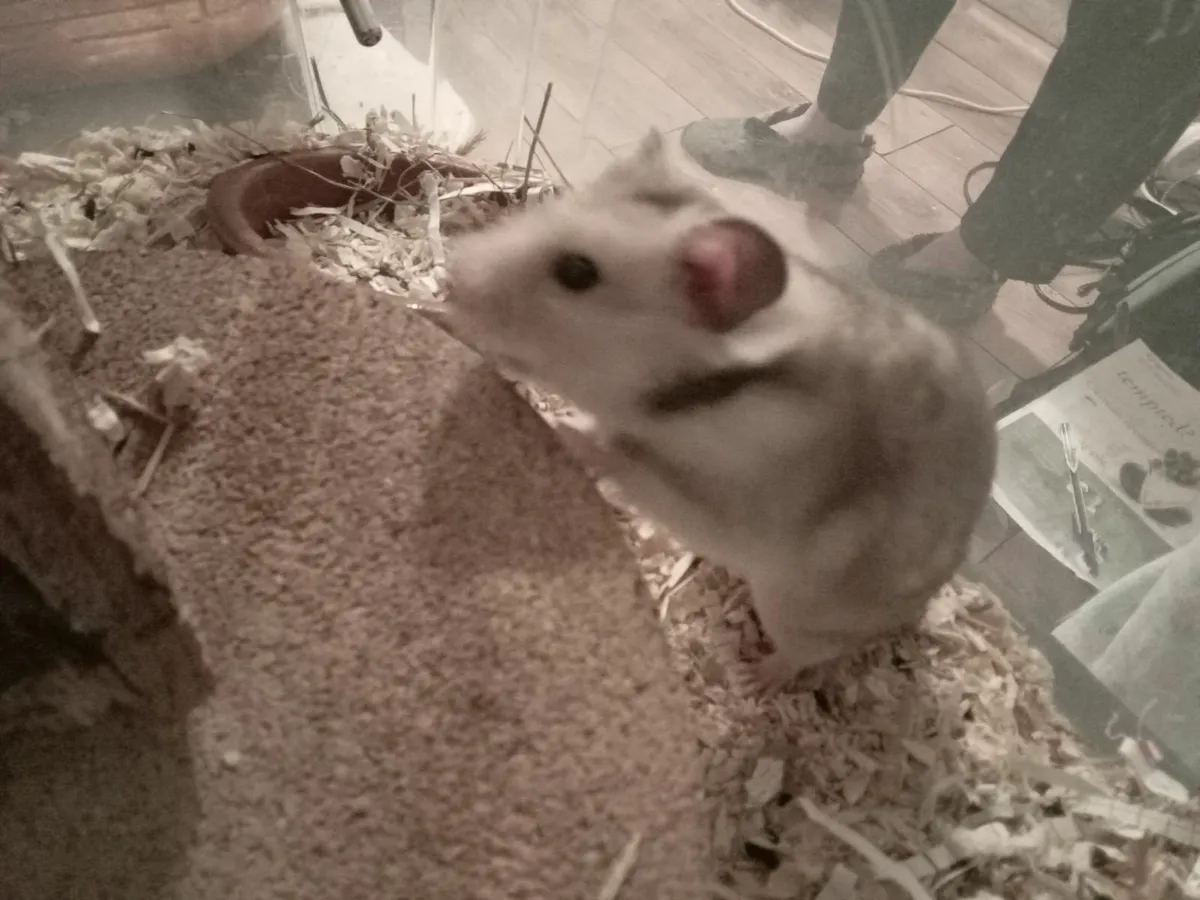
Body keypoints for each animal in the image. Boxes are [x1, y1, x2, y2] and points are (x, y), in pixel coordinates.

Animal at [442, 129, 998, 693]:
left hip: (797, 610)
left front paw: (564, 427)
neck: (705, 391)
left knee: (808, 654)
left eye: (577, 272)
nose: (450, 279)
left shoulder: (724, 507)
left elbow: (628, 462)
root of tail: (916, 611)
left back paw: (755, 677)